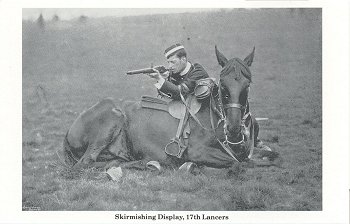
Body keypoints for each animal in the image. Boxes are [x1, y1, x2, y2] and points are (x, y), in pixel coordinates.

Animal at [63, 46, 280, 172]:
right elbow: (238, 163)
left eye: (247, 84)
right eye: (223, 85)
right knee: (85, 163)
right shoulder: (197, 152)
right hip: (111, 119)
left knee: (109, 161)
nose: (234, 129)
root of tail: (70, 129)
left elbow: (272, 155)